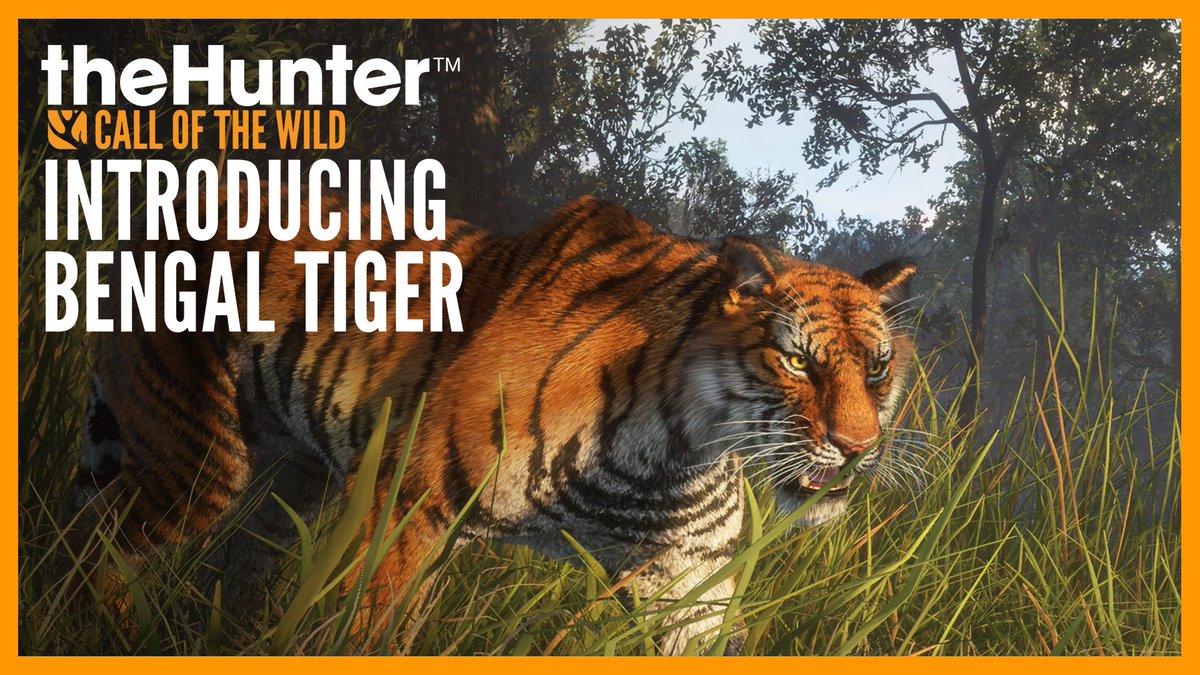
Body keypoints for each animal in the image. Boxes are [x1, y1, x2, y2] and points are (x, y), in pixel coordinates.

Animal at [71, 192, 917, 655]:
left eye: (878, 369)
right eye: (798, 363)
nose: (857, 448)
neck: (677, 449)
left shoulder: (692, 585)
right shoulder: (408, 506)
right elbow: (362, 626)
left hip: (287, 481)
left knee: (231, 567)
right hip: (196, 458)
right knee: (98, 539)